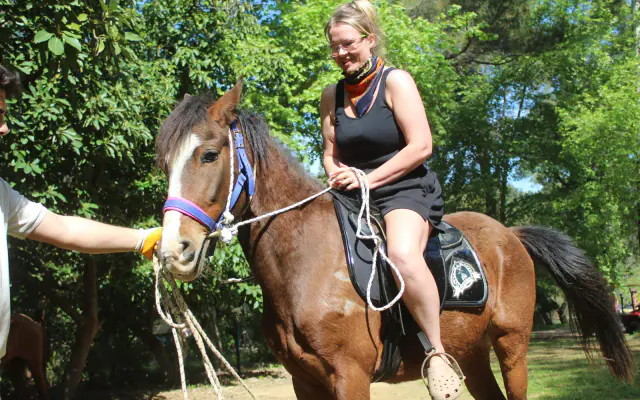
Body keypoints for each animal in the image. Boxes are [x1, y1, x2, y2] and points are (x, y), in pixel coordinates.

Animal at [155, 80, 634, 400]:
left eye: (209, 154)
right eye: (164, 163)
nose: (174, 250)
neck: (305, 262)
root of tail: (510, 235)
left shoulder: (349, 376)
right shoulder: (303, 380)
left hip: (512, 346)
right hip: (472, 353)